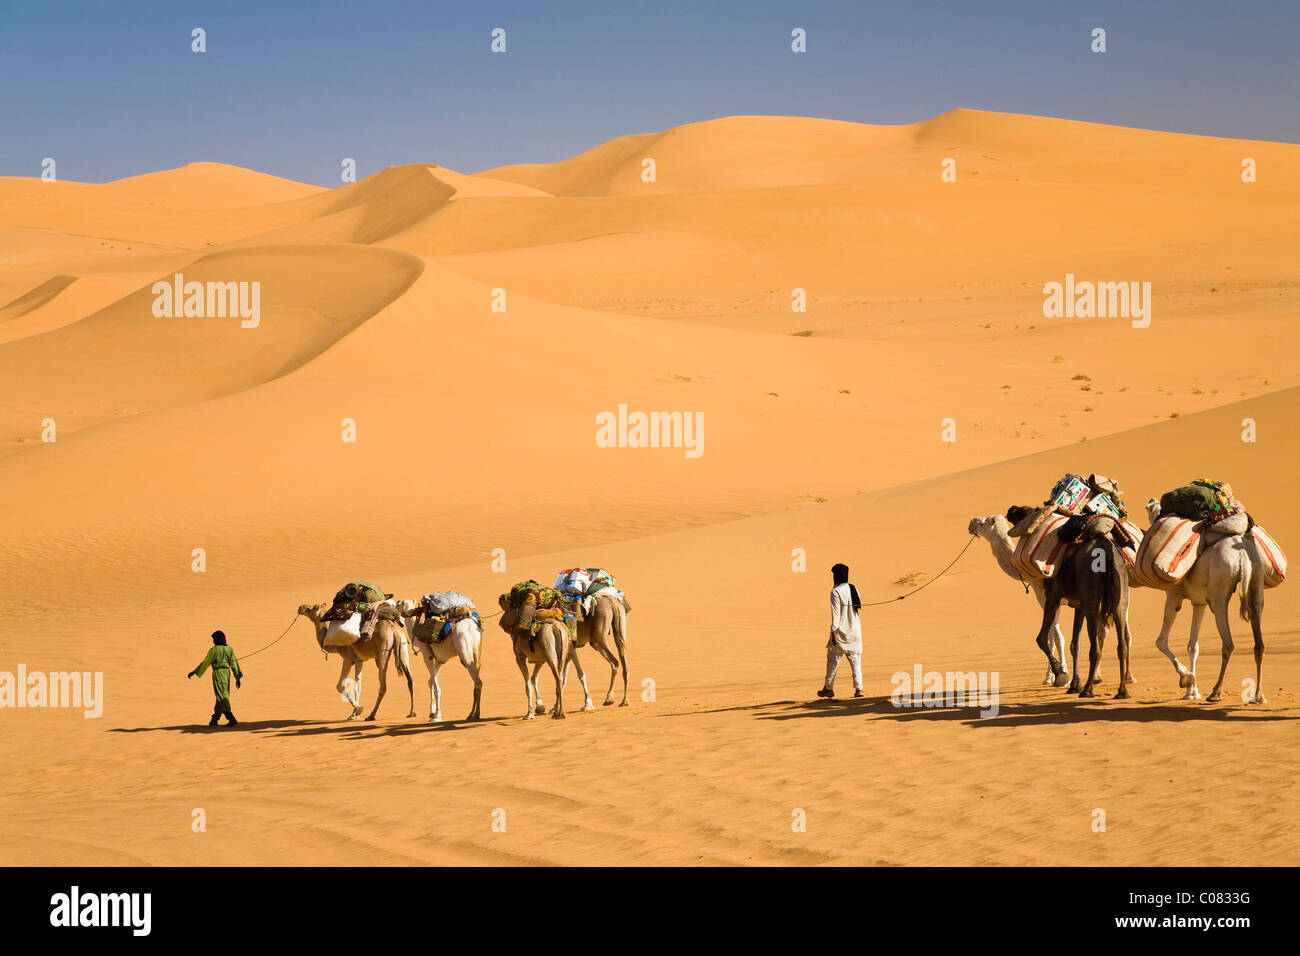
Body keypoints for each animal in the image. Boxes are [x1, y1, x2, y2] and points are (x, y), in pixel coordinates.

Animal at [1149, 502, 1268, 702]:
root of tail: (1243, 557)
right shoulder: (1199, 602)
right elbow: (1192, 646)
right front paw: (1192, 691)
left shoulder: (1173, 595)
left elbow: (1161, 641)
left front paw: (1186, 679)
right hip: (1256, 584)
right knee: (1259, 643)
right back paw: (1258, 696)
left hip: (1219, 596)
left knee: (1228, 644)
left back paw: (1215, 692)